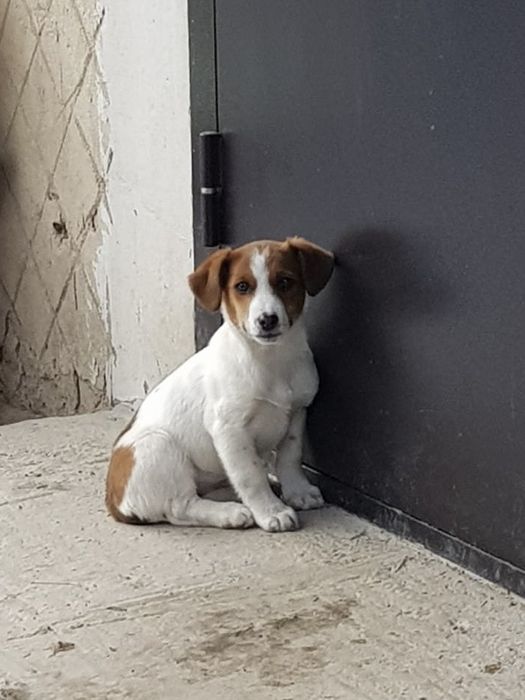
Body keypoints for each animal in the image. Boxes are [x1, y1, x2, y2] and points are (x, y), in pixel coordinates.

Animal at [105, 237, 334, 532]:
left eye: (285, 282)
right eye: (242, 287)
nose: (267, 320)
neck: (269, 360)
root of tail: (113, 498)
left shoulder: (296, 413)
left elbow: (290, 457)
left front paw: (297, 491)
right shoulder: (229, 429)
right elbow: (250, 476)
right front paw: (271, 511)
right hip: (159, 447)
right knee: (181, 507)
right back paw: (230, 513)